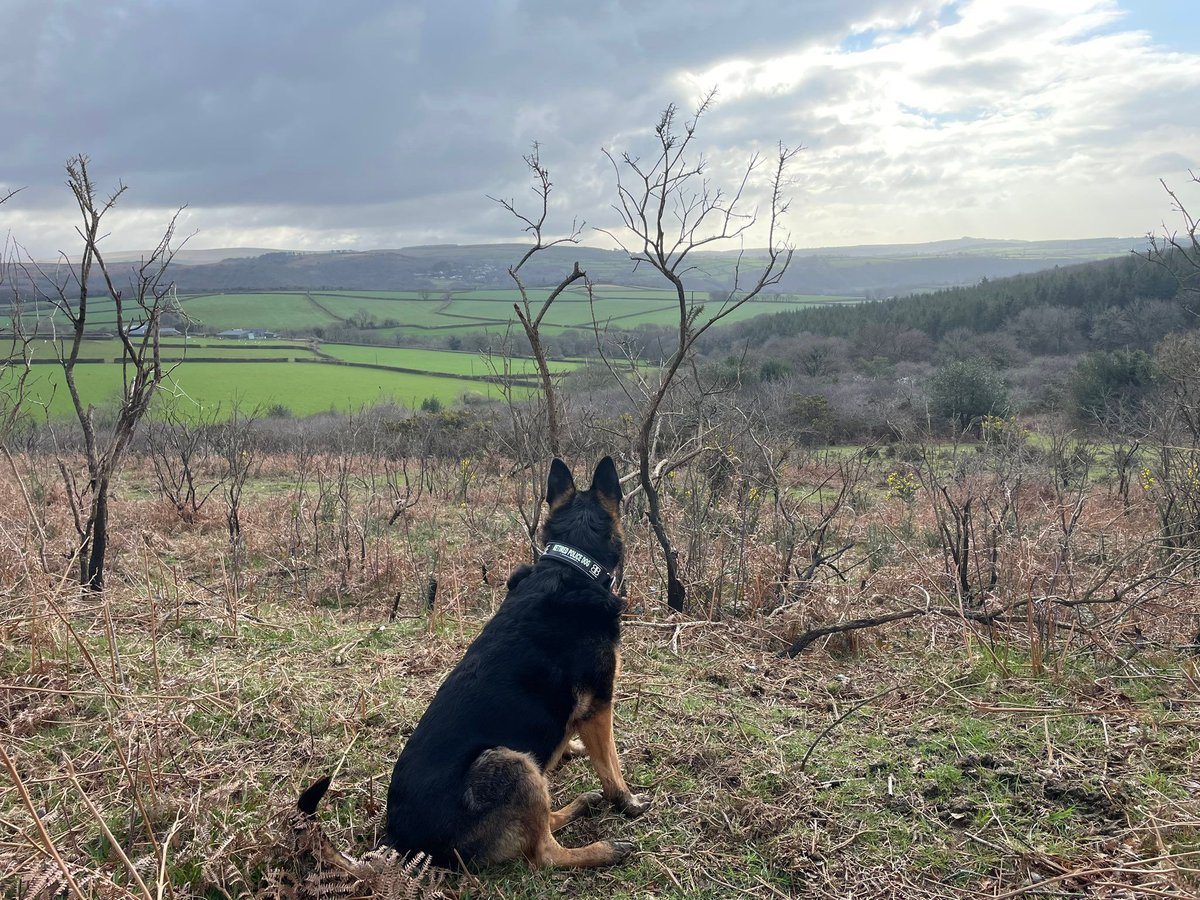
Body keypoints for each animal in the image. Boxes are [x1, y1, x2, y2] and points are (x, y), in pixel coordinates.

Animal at [304, 458, 652, 873]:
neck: (571, 564)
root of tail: (398, 842)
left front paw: (572, 750)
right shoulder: (600, 705)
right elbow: (611, 768)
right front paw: (628, 802)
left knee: (542, 820)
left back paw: (579, 805)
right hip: (510, 762)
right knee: (544, 854)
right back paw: (605, 848)